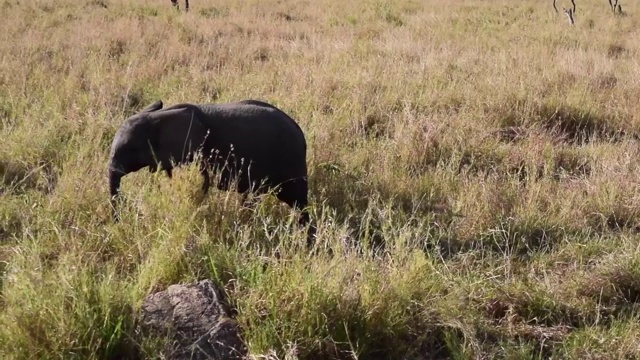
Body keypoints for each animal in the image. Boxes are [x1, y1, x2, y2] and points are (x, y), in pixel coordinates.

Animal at [107, 98, 310, 228]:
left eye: (132, 149)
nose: (118, 224)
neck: (157, 117)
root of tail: (299, 131)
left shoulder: (196, 153)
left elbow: (200, 185)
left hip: (290, 160)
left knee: (298, 201)